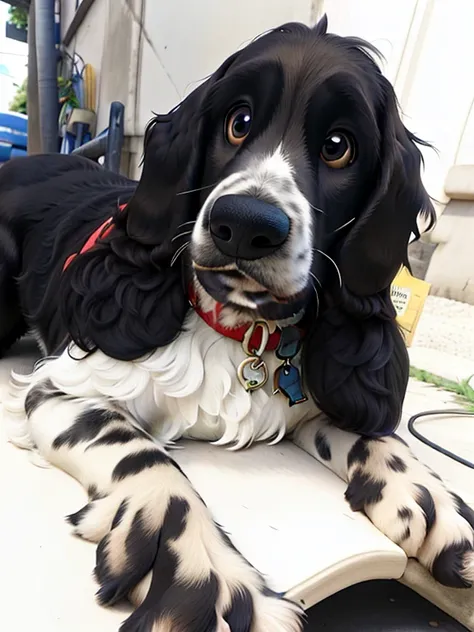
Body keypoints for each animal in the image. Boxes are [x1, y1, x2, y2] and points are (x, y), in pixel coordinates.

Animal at [0, 16, 474, 632]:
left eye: (339, 147)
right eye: (238, 121)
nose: (245, 225)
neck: (239, 330)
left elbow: (368, 430)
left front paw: (428, 497)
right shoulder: (65, 386)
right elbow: (146, 456)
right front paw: (205, 575)